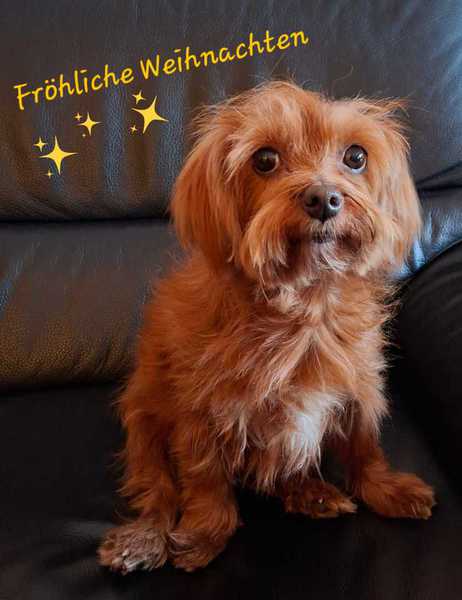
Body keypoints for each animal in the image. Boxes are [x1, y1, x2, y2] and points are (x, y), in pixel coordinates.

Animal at [98, 81, 435, 574]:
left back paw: (309, 491)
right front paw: (204, 533)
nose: (323, 199)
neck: (302, 306)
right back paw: (143, 538)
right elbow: (205, 479)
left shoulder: (359, 390)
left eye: (356, 156)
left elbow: (364, 448)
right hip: (143, 424)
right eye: (265, 160)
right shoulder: (200, 411)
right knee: (157, 490)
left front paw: (386, 489)